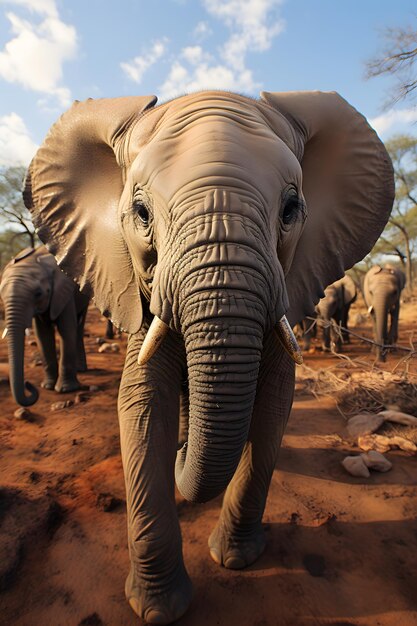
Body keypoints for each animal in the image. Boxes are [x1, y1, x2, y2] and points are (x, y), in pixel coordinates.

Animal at [0, 246, 88, 408]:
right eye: (1, 296)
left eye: (38, 293)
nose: (28, 384)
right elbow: (42, 335)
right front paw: (47, 386)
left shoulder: (64, 292)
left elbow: (67, 331)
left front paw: (65, 390)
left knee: (79, 325)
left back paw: (81, 369)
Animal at [22, 90, 394, 620]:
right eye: (141, 212)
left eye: (291, 208)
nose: (184, 455)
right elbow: (142, 405)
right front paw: (159, 608)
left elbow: (273, 403)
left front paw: (237, 559)